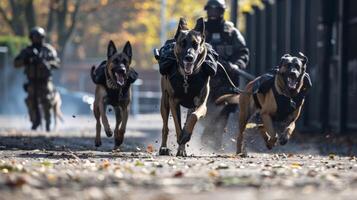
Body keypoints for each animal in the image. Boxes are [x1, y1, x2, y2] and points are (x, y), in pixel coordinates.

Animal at [156, 17, 217, 156]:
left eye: (196, 44)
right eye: (182, 43)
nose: (189, 57)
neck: (187, 78)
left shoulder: (201, 104)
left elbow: (193, 118)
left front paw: (185, 137)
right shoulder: (173, 102)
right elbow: (177, 126)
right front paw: (180, 139)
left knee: (189, 118)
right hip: (164, 102)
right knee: (165, 127)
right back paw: (164, 148)